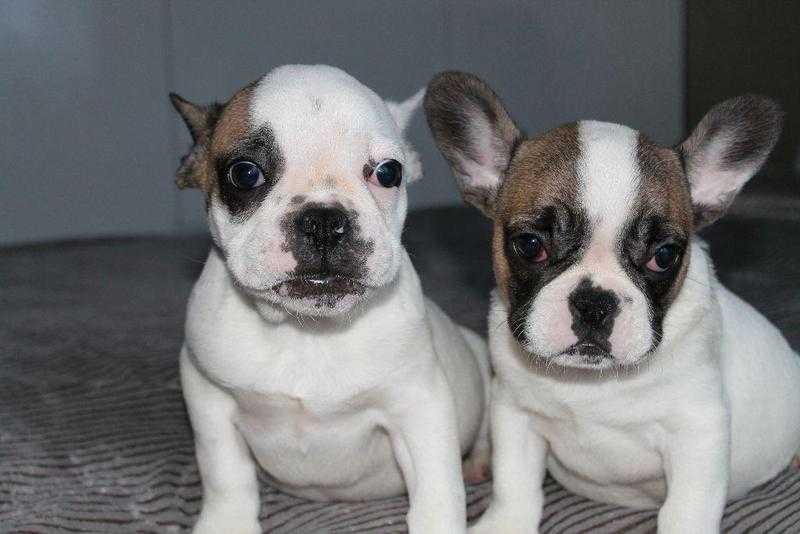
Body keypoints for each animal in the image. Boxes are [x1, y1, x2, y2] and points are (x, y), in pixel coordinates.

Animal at [170, 65, 490, 532]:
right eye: (245, 174)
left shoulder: (419, 406)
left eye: (388, 173)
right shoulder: (209, 397)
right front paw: (225, 523)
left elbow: (437, 491)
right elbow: (225, 473)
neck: (306, 332)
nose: (323, 219)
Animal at [424, 72, 800, 534]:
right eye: (530, 245)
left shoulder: (698, 430)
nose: (594, 303)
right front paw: (503, 524)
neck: (590, 384)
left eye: (664, 255)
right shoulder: (516, 414)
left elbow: (687, 508)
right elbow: (515, 486)